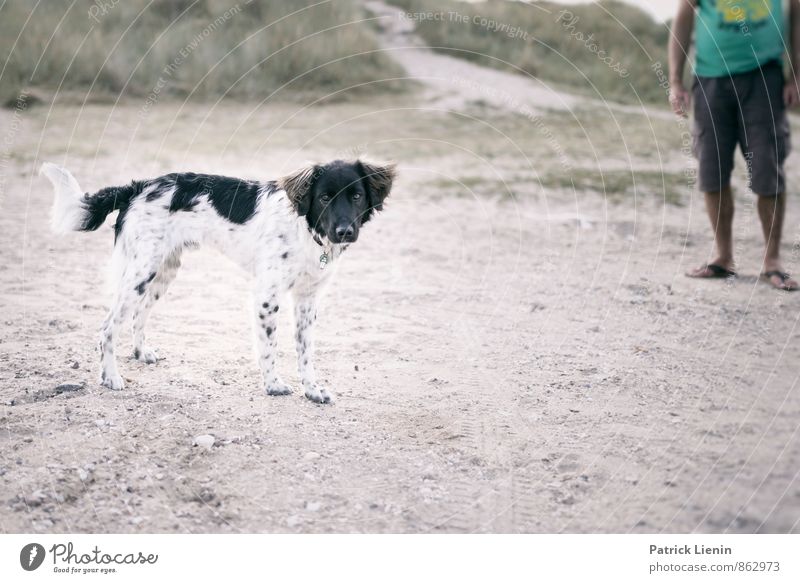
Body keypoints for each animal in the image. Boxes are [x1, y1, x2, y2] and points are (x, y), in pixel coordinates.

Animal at [40, 160, 396, 406]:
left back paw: (141, 353)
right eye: (323, 197)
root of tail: (139, 186)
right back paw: (110, 377)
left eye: (357, 196)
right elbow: (269, 348)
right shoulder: (266, 297)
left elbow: (305, 352)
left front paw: (312, 390)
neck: (305, 230)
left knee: (139, 315)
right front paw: (273, 385)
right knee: (107, 327)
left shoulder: (308, 300)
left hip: (162, 271)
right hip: (141, 273)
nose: (345, 231)